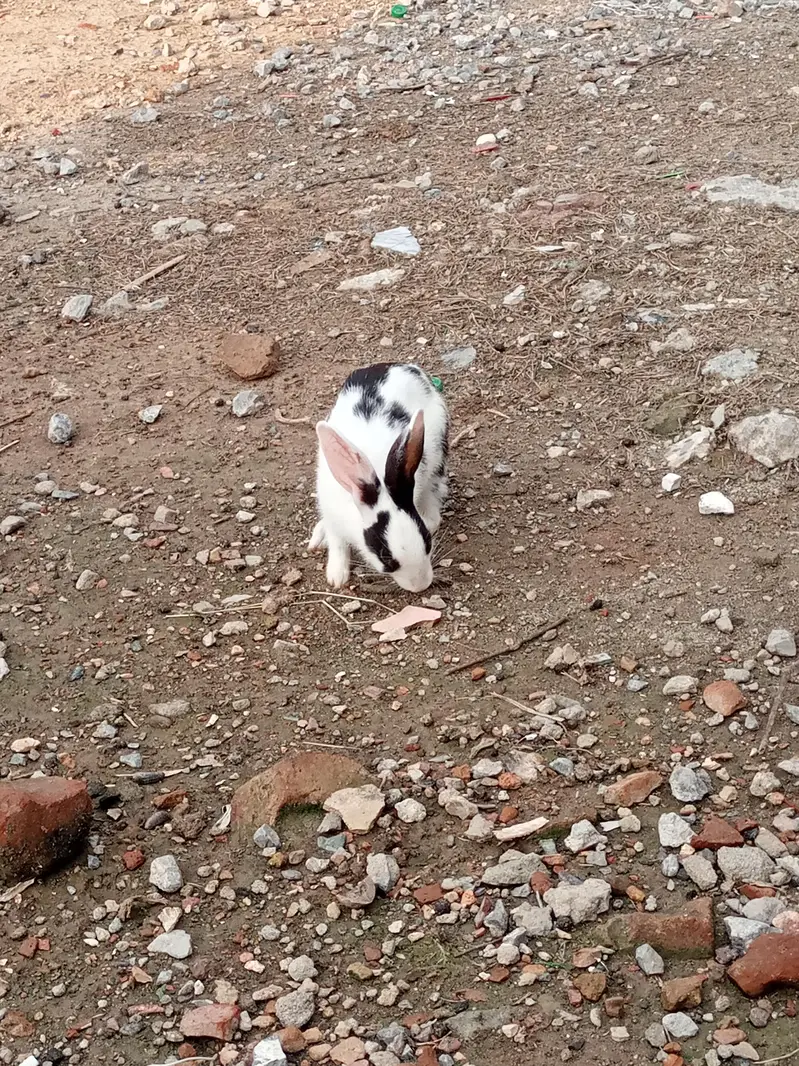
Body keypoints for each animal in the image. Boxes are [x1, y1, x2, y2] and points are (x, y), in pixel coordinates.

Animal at [309, 362, 449, 593]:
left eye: (427, 542)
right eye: (386, 558)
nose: (420, 586)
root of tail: (403, 366)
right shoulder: (331, 514)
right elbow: (338, 544)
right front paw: (337, 577)